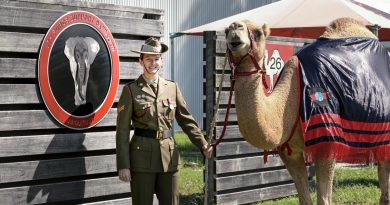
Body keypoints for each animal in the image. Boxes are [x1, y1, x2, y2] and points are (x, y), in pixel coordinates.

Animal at [224, 18, 390, 205]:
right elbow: (304, 199)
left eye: (258, 33)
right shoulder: (290, 152)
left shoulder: (326, 141)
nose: (235, 27)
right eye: (225, 31)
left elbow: (324, 199)